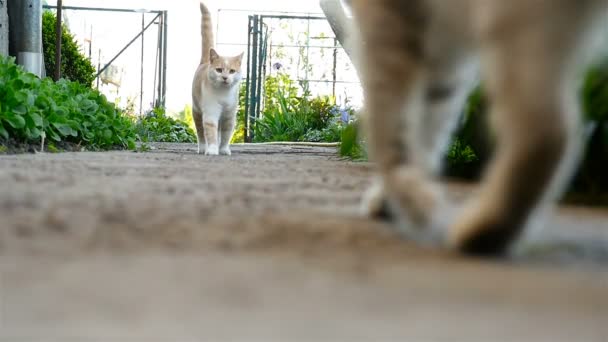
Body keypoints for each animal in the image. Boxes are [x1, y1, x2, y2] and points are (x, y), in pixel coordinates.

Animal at [192, 1, 245, 156]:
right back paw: (202, 148)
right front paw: (212, 150)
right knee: (200, 133)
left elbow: (226, 134)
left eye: (232, 71)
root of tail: (205, 61)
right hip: (196, 111)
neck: (223, 94)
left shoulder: (229, 115)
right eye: (219, 70)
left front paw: (224, 149)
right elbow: (211, 132)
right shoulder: (210, 112)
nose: (225, 77)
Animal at [346, 0, 608, 255]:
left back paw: (483, 230)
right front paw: (392, 197)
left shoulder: (386, 19)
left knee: (549, 130)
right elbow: (425, 131)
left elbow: (385, 123)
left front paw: (412, 199)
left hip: (507, 21)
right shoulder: (443, 47)